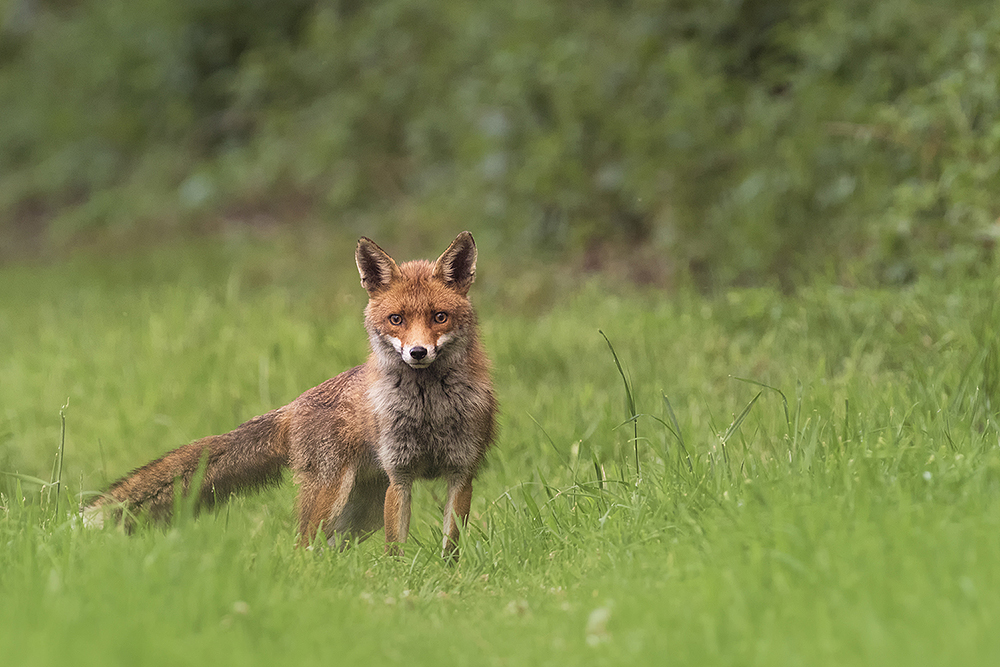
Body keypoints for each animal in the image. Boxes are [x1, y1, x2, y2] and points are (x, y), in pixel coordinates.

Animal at [84, 232, 498, 560]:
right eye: (396, 320)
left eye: (439, 317)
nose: (417, 352)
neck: (429, 409)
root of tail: (293, 405)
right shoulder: (400, 476)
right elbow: (395, 549)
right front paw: (399, 581)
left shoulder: (461, 474)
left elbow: (451, 546)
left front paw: (447, 579)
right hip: (332, 496)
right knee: (301, 549)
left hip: (359, 512)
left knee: (322, 550)